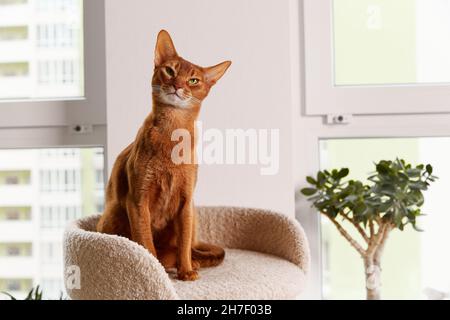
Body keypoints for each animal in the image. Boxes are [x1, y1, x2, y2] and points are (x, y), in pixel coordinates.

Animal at [98, 29, 232, 280]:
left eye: (193, 80)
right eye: (170, 71)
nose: (177, 85)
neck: (172, 134)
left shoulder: (186, 202)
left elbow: (183, 243)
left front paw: (186, 271)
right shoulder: (137, 200)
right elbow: (146, 242)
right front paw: (154, 274)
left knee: (188, 247)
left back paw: (192, 263)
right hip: (112, 216)